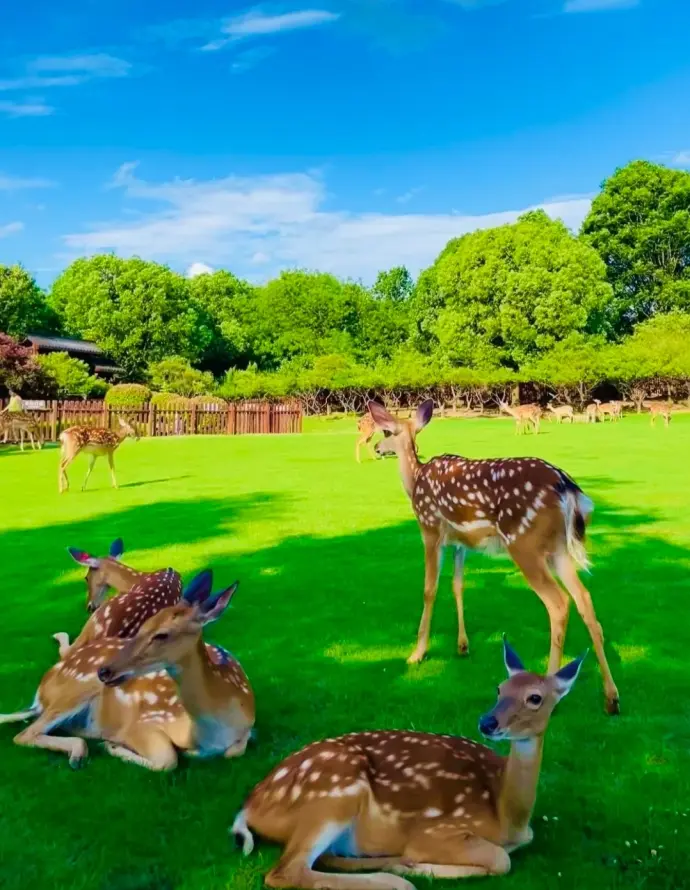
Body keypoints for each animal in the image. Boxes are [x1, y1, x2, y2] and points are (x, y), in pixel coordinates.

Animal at [1, 572, 254, 770]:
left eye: (162, 634)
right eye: (143, 626)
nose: (104, 671)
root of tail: (42, 691)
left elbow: (235, 750)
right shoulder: (140, 724)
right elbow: (168, 760)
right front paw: (112, 745)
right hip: (78, 686)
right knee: (24, 734)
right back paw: (80, 754)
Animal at [231, 638, 585, 890]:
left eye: (535, 698)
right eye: (499, 688)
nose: (487, 722)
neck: (507, 814)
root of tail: (248, 807)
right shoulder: (437, 829)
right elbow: (500, 860)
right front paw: (417, 864)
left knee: (323, 858)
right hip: (334, 790)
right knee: (285, 871)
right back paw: (396, 879)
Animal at [368, 399, 619, 715]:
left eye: (386, 431)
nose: (377, 448)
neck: (414, 481)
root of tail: (568, 487)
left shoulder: (430, 529)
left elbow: (429, 589)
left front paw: (417, 653)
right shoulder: (460, 543)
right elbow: (458, 586)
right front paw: (462, 645)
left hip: (523, 543)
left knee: (559, 603)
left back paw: (546, 692)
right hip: (558, 548)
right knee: (584, 598)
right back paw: (611, 698)